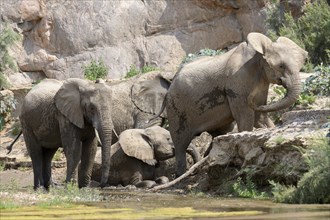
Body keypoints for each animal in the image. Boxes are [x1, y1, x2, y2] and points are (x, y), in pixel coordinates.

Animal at [166, 32, 308, 176]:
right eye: (281, 66)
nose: (252, 100)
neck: (258, 55)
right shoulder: (237, 84)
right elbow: (246, 118)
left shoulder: (261, 85)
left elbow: (259, 118)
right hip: (175, 108)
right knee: (180, 143)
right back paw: (181, 174)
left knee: (220, 132)